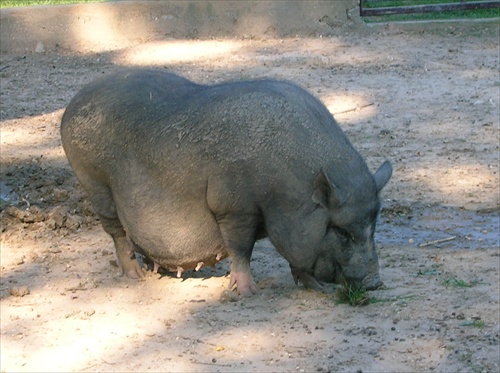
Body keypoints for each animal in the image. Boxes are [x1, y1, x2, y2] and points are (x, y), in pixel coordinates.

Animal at [60, 70, 392, 294]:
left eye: (373, 224)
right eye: (342, 231)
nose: (375, 282)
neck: (285, 191)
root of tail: (71, 105)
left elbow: (296, 258)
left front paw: (315, 289)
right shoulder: (233, 206)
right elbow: (241, 248)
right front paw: (248, 291)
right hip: (95, 183)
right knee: (116, 233)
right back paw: (135, 276)